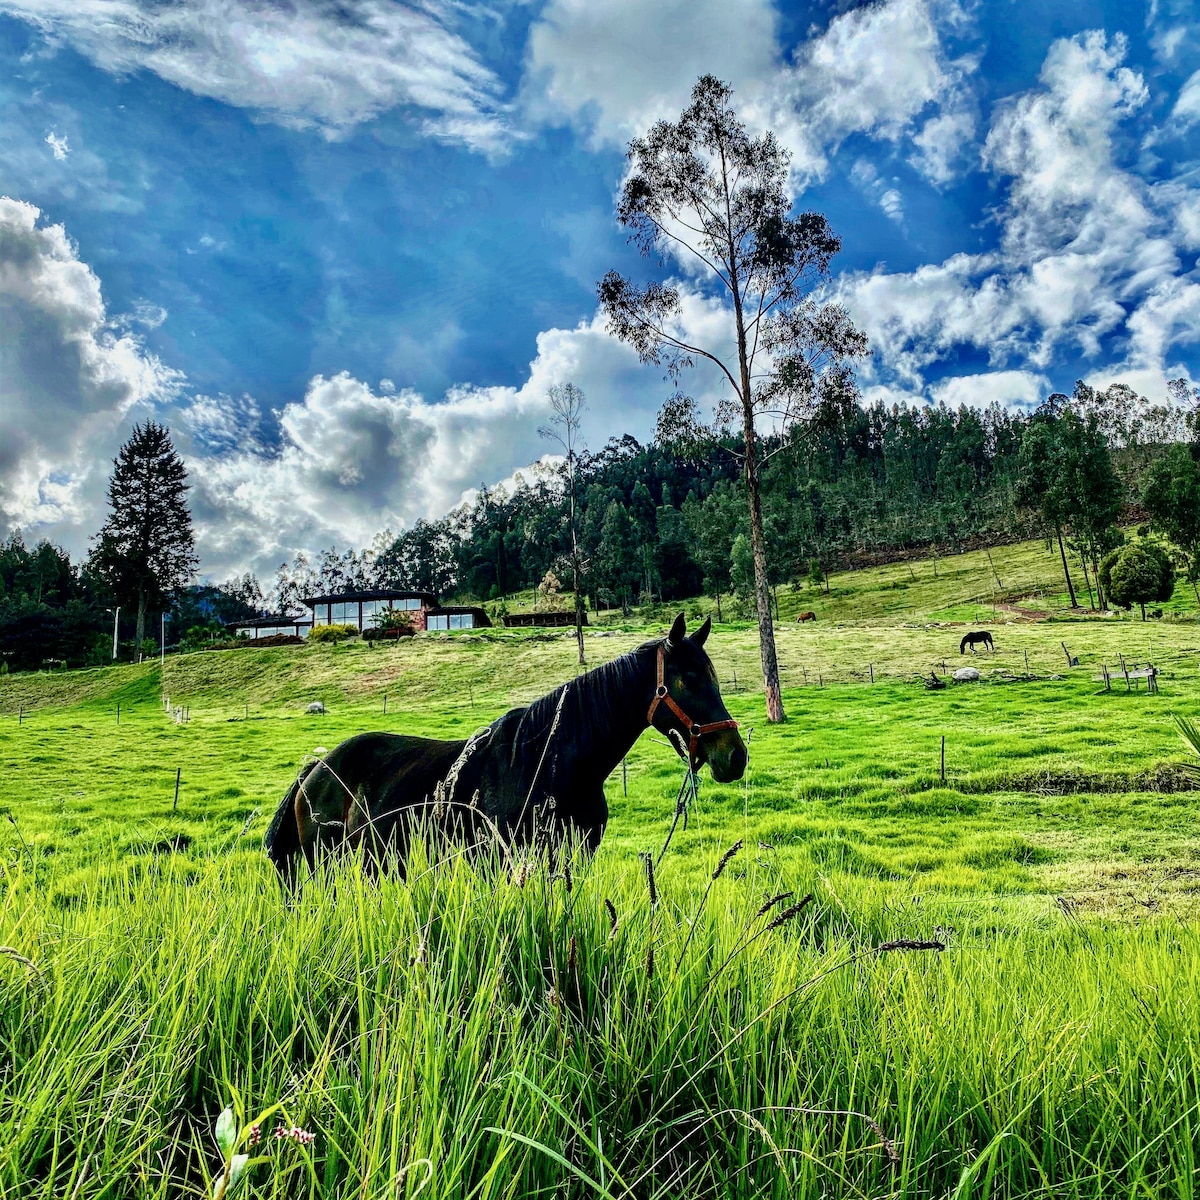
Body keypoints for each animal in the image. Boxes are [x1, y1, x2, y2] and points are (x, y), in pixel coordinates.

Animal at [267, 614, 744, 888]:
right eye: (687, 679)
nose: (735, 757)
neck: (547, 763)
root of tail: (315, 771)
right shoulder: (499, 863)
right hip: (327, 867)